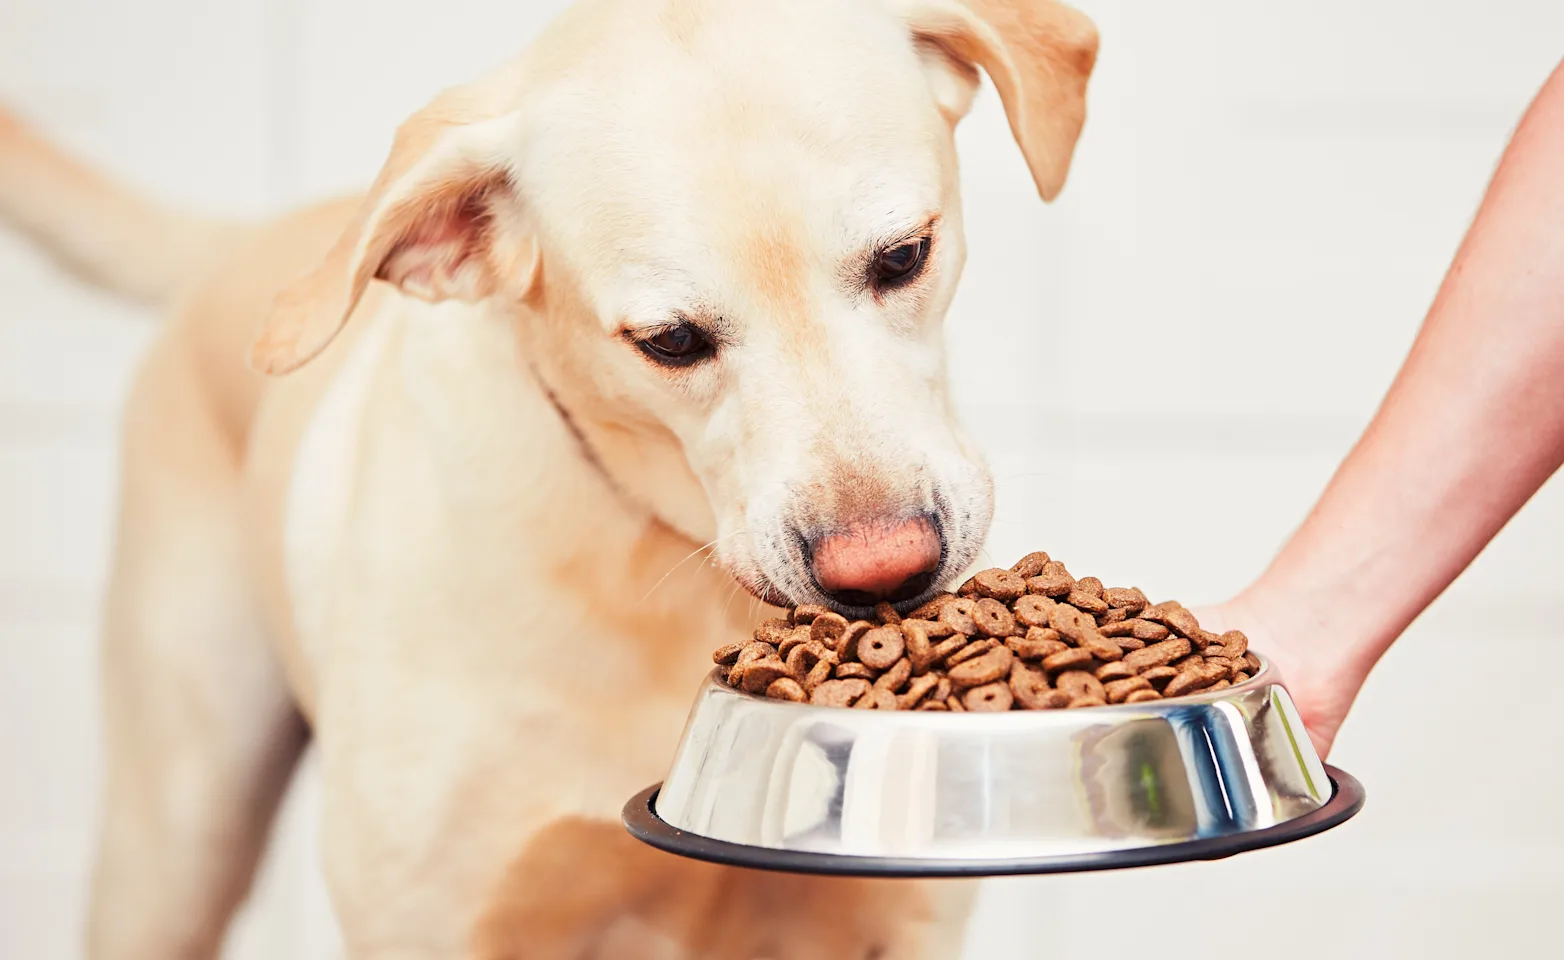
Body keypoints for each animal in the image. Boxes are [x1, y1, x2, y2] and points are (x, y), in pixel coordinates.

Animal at [3, 0, 1101, 956]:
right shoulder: (430, 917)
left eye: (904, 255)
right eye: (669, 341)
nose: (885, 573)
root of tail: (247, 237)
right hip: (177, 837)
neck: (658, 556)